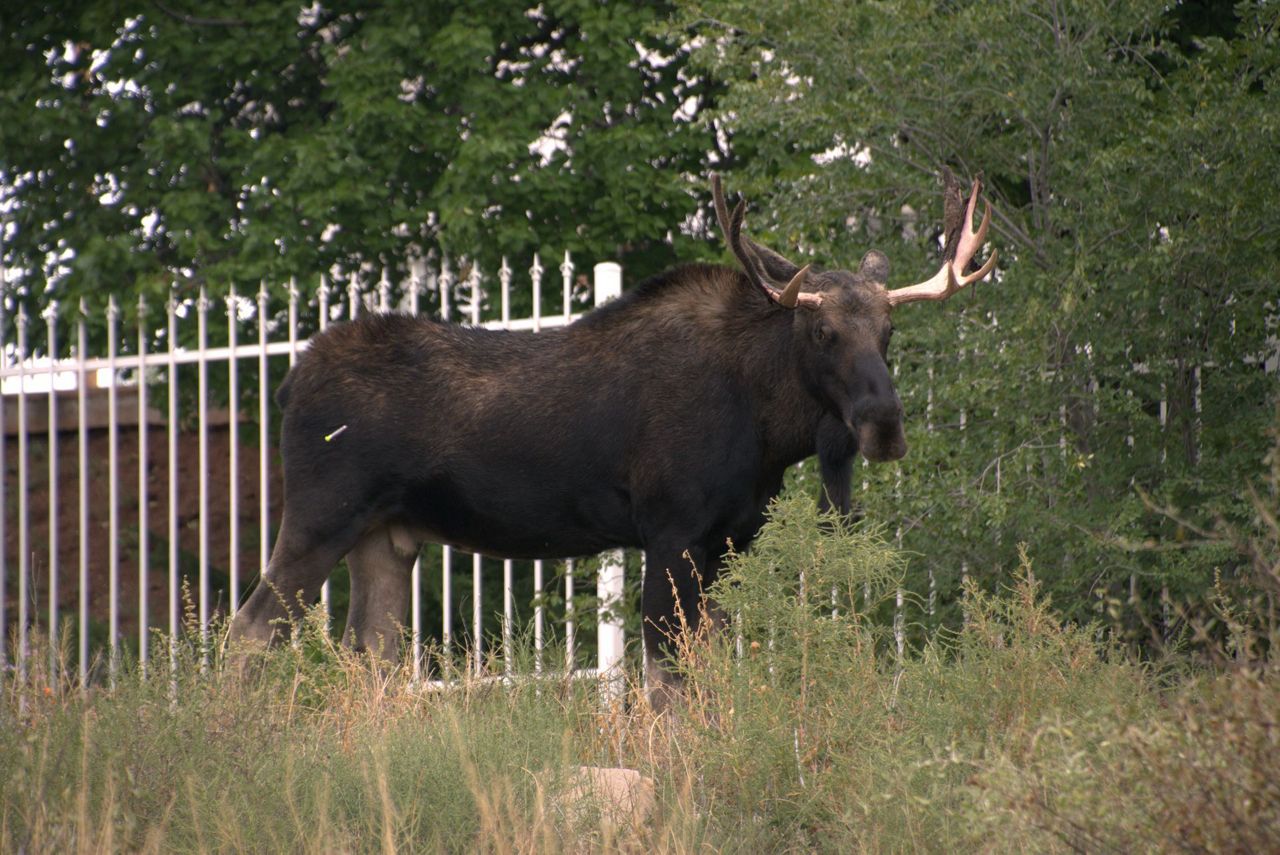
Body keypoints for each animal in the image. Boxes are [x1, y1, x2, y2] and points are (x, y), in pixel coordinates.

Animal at [227, 172, 996, 705]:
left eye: (889, 331)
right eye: (823, 331)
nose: (884, 423)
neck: (768, 427)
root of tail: (287, 386)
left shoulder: (727, 541)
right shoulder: (671, 530)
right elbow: (662, 684)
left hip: (387, 537)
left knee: (370, 655)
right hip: (320, 515)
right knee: (250, 630)